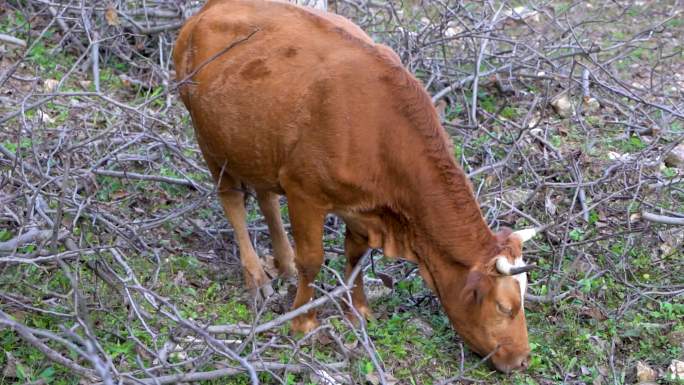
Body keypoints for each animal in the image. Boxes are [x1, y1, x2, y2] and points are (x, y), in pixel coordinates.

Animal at [174, 0, 536, 372]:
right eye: (505, 307)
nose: (524, 359)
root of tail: (212, 7)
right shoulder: (304, 192)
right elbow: (312, 259)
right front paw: (303, 321)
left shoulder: (363, 206)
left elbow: (356, 256)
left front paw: (358, 311)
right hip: (210, 141)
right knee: (232, 201)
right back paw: (257, 278)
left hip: (257, 145)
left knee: (266, 196)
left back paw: (283, 263)